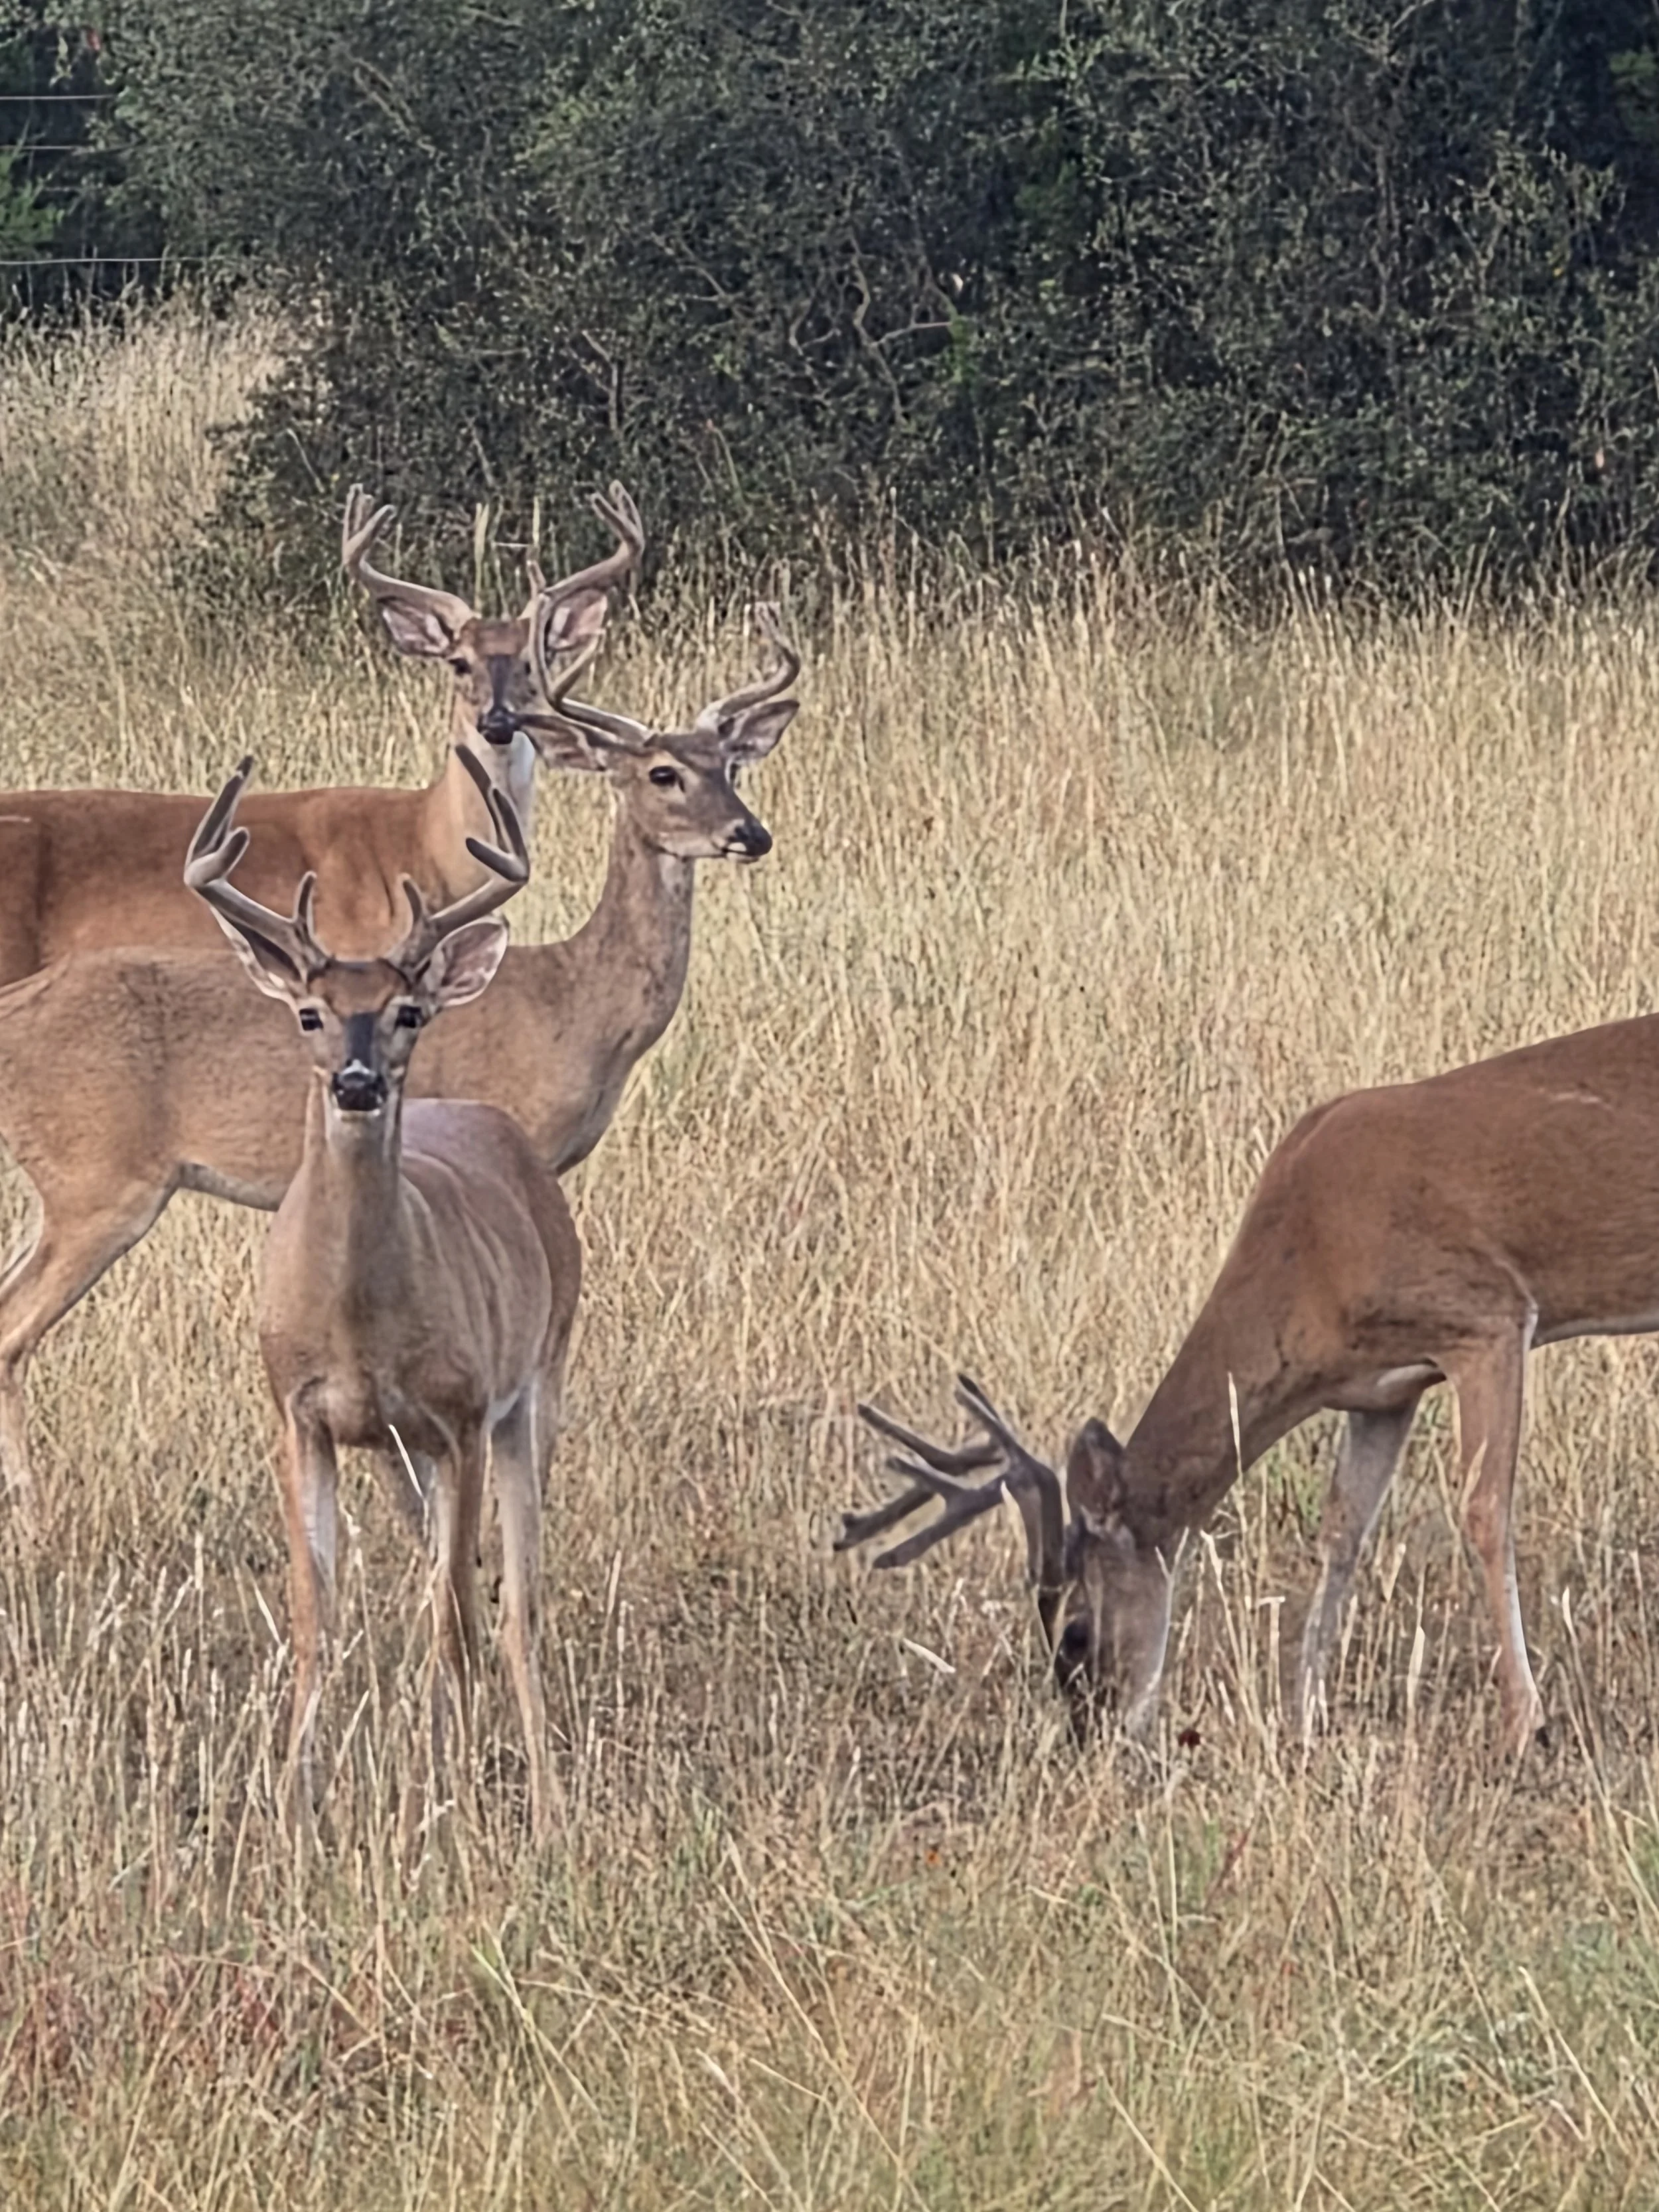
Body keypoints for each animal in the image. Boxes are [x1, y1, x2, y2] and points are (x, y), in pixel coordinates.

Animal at [0, 607, 800, 1507]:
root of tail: (13, 1014)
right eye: (663, 772)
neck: (576, 1001)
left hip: (61, 1186)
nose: (750, 833)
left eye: (730, 763)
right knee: (11, 1326)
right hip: (98, 1182)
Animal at [188, 761, 579, 1837]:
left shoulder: (461, 1417)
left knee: (515, 1602)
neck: (358, 1330)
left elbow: (459, 1619)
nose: (358, 1084)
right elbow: (316, 1613)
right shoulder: (300, 1414)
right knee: (455, 1585)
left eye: (409, 1012)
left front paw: (451, 1796)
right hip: (409, 1451)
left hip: (536, 1388)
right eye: (309, 1014)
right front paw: (292, 1804)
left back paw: (540, 1795)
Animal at [841, 1013, 1659, 1757]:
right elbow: (1343, 1531)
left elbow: (1485, 1513)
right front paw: (1303, 1715)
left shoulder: (1486, 1316)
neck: (1310, 1256)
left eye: (1073, 1629)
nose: (1092, 1735)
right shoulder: (1381, 1391)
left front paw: (1526, 1726)